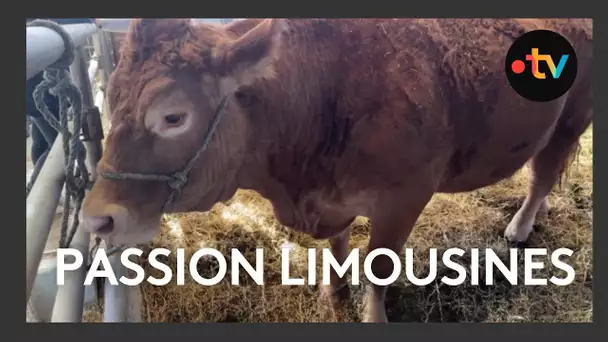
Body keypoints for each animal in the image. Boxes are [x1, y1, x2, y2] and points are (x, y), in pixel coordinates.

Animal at [79, 18, 588, 324]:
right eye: (110, 100)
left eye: (173, 117)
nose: (95, 219)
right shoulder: (329, 198)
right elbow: (339, 243)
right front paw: (334, 290)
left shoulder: (404, 198)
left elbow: (379, 265)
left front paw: (372, 315)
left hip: (572, 116)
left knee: (543, 173)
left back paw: (521, 226)